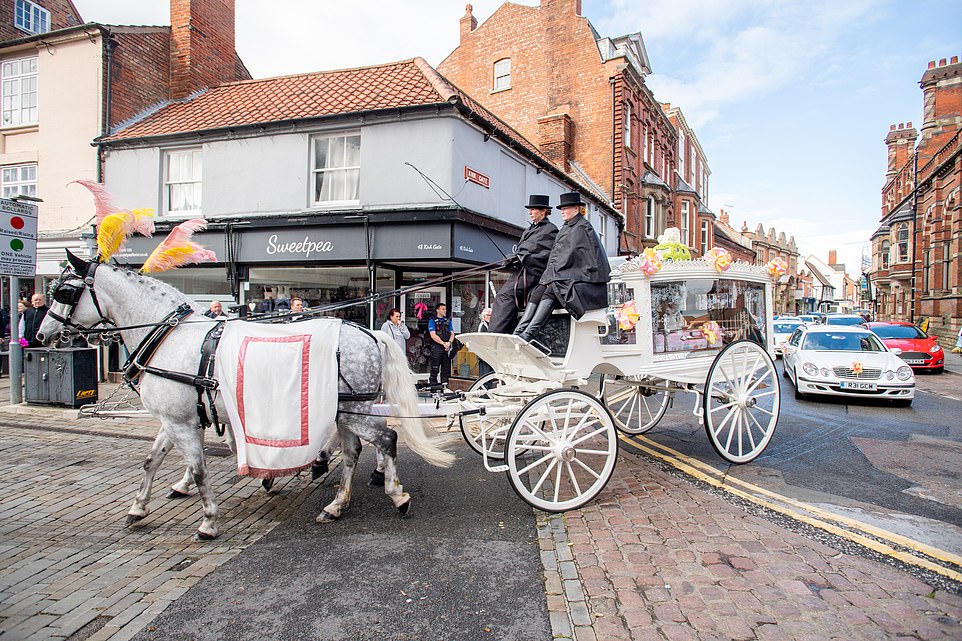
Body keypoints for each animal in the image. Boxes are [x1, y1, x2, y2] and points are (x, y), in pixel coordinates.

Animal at [36, 251, 454, 540]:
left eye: (66, 291)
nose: (43, 334)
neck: (170, 336)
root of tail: (371, 332)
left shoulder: (181, 421)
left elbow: (199, 469)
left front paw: (208, 520)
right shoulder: (175, 419)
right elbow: (152, 461)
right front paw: (139, 507)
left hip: (355, 410)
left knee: (387, 438)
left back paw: (396, 495)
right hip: (348, 409)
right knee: (355, 451)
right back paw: (337, 504)